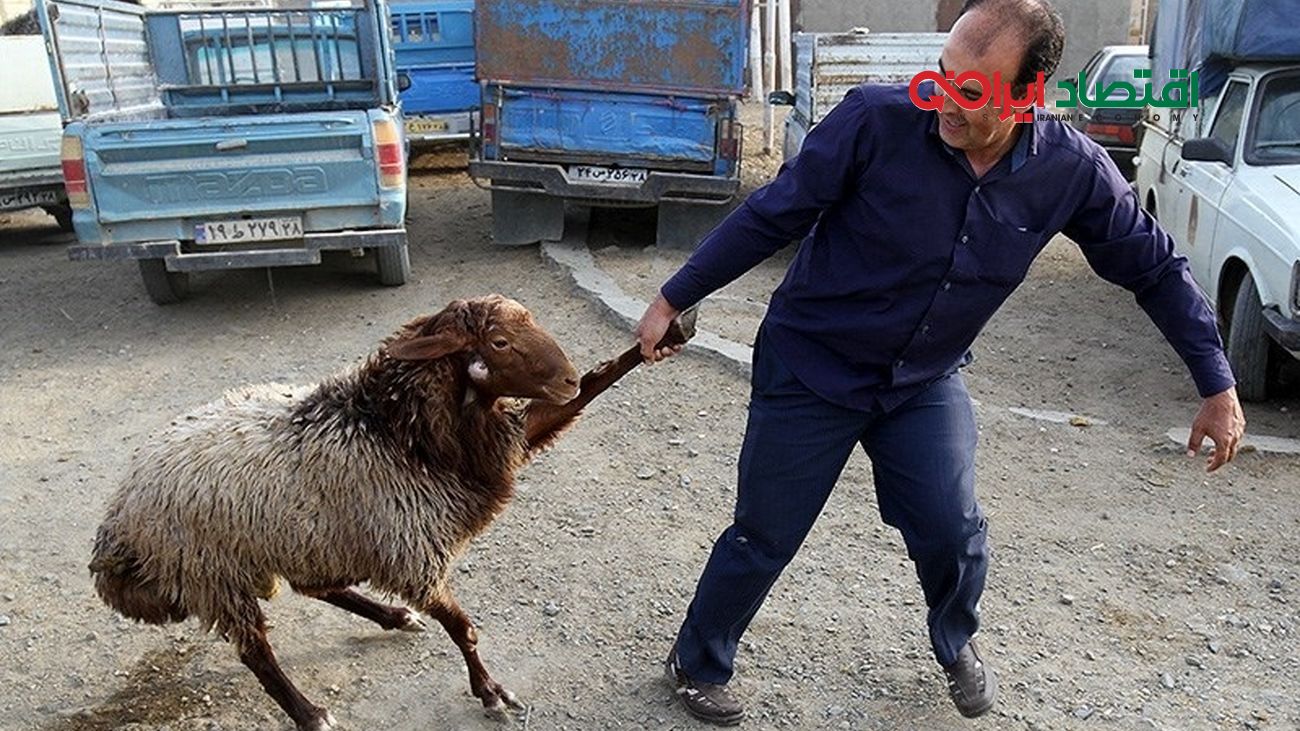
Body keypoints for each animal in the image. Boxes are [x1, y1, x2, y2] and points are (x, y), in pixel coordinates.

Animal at [87, 295, 697, 731]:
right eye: (499, 341)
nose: (564, 377)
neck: (397, 430)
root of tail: (119, 517)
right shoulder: (412, 553)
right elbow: (465, 629)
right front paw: (491, 693)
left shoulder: (493, 451)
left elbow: (596, 386)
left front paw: (663, 335)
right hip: (214, 572)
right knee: (256, 650)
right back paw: (310, 714)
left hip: (304, 536)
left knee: (317, 586)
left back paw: (390, 618)